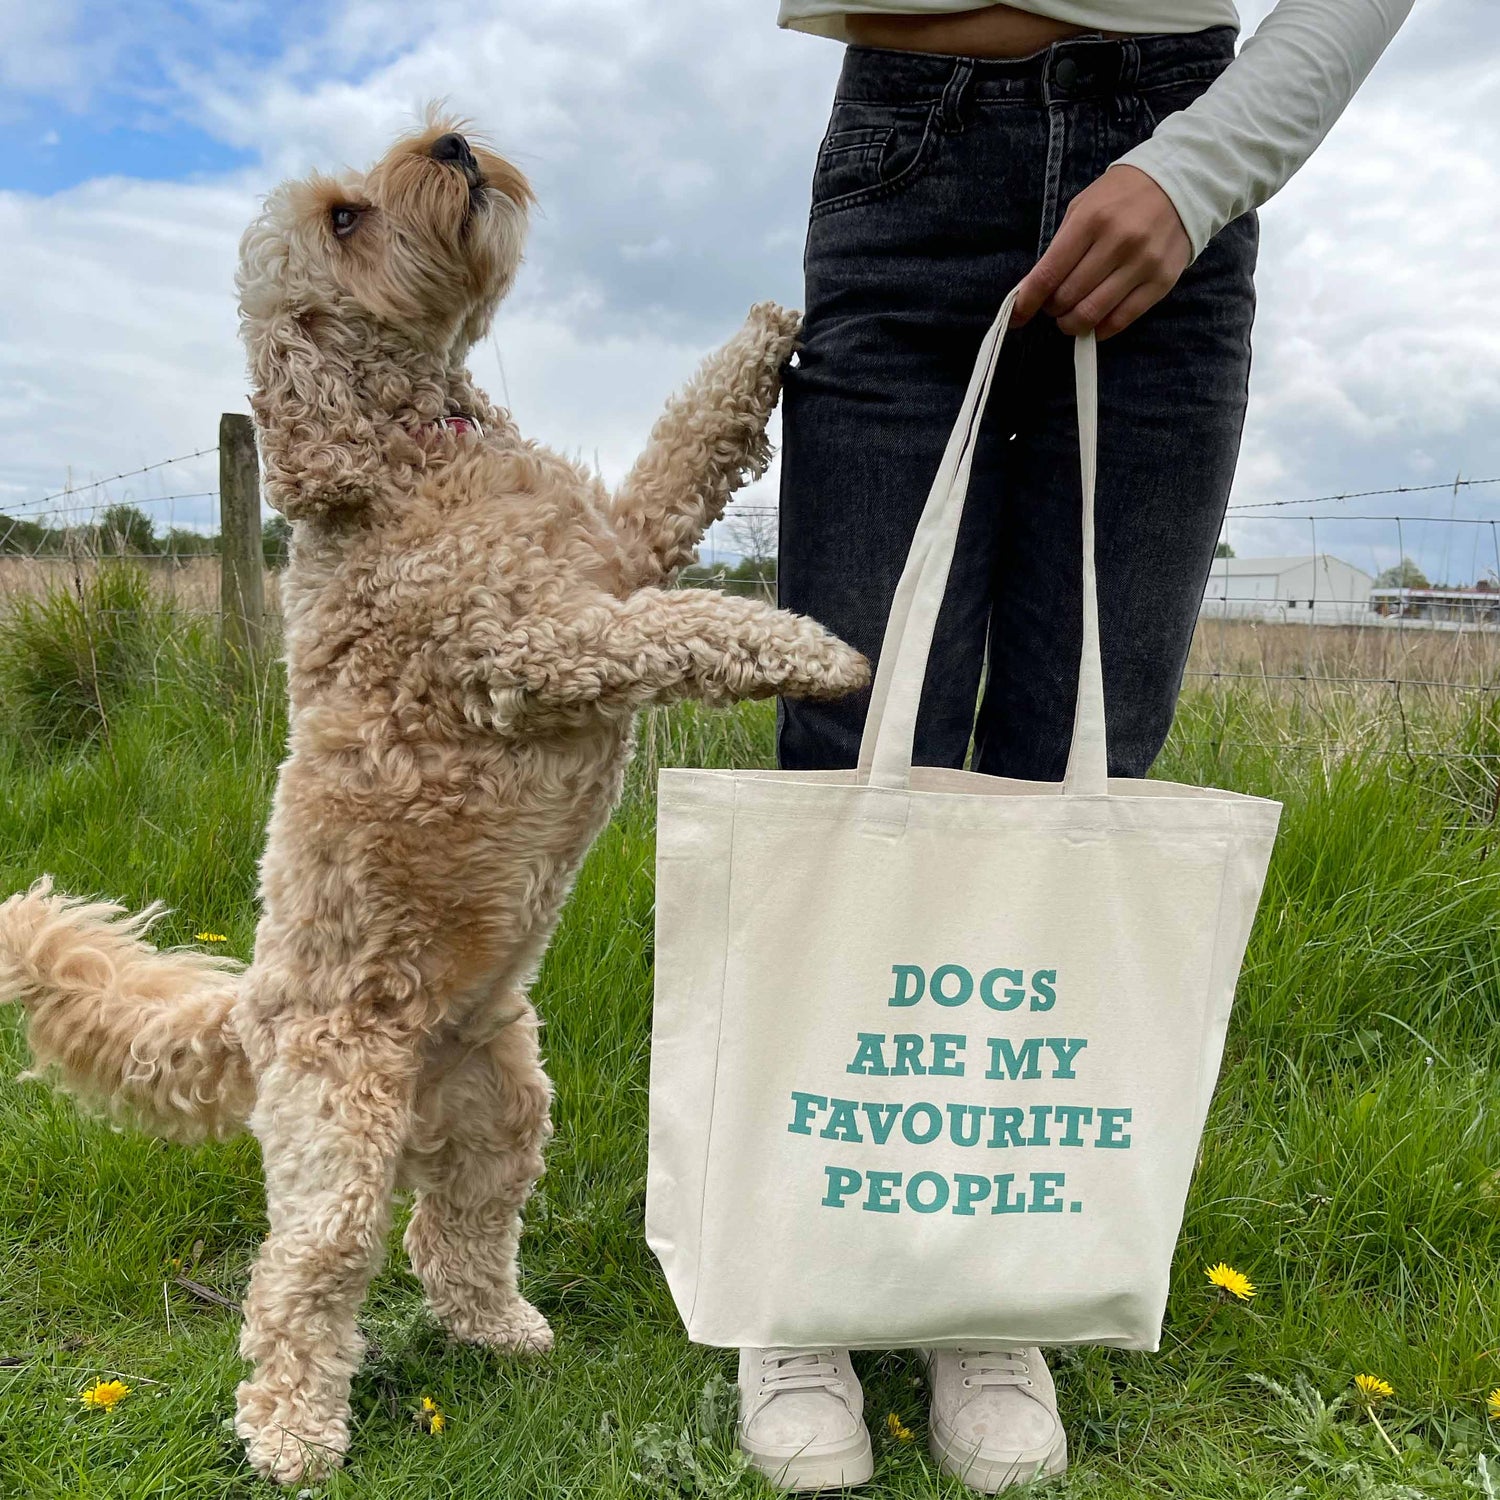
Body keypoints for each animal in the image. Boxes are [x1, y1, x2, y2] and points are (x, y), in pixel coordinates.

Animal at [0, 120, 870, 1488]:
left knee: (452, 1234)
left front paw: (765, 335)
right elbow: (683, 626)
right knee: (301, 1281)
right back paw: (293, 1436)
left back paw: (501, 1329)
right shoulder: (543, 640)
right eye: (346, 220)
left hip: (506, 1109)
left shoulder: (621, 544)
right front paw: (812, 649)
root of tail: (250, 1009)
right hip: (339, 1140)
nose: (454, 143)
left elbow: (685, 454)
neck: (421, 447)